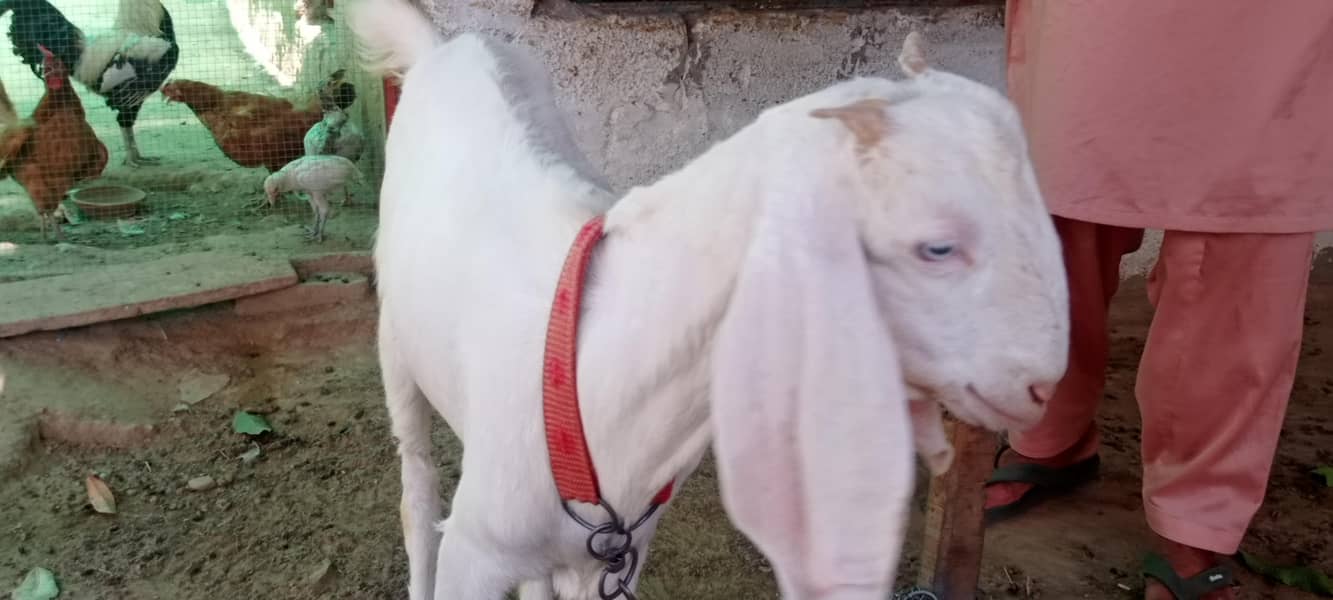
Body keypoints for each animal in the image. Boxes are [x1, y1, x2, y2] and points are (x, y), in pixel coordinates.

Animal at [350, 0, 1070, 598]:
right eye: (937, 248)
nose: (1042, 388)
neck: (595, 369)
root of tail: (450, 45)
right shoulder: (479, 549)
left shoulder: (618, 550)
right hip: (395, 344)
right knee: (415, 485)